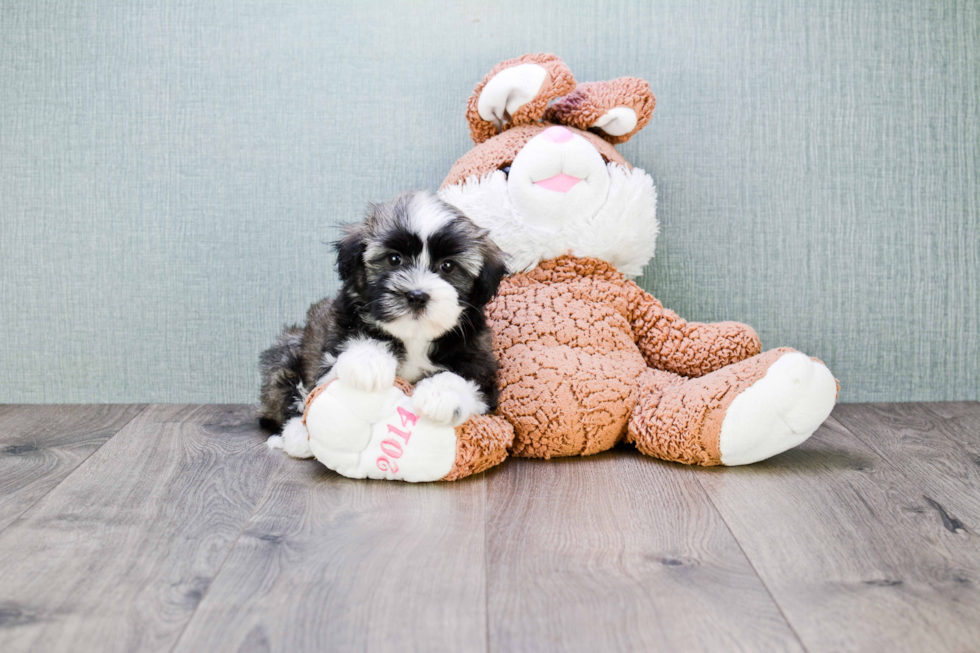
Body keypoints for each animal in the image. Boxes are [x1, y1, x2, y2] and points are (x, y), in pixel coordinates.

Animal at [258, 186, 506, 456]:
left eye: (448, 266)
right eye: (394, 259)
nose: (417, 295)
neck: (414, 336)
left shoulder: (481, 363)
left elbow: (467, 378)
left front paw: (441, 395)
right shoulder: (335, 337)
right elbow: (354, 341)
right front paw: (368, 362)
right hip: (289, 349)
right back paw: (295, 436)